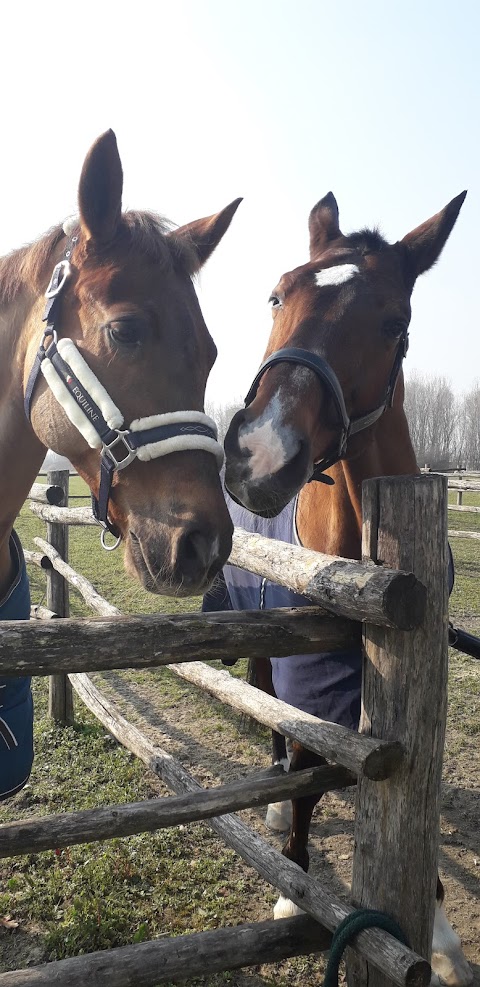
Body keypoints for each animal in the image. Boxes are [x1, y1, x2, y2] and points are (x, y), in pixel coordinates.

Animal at [221, 193, 472, 987]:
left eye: (394, 322)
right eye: (277, 293)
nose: (260, 453)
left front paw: (438, 928)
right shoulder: (309, 675)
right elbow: (305, 763)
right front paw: (293, 885)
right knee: (266, 702)